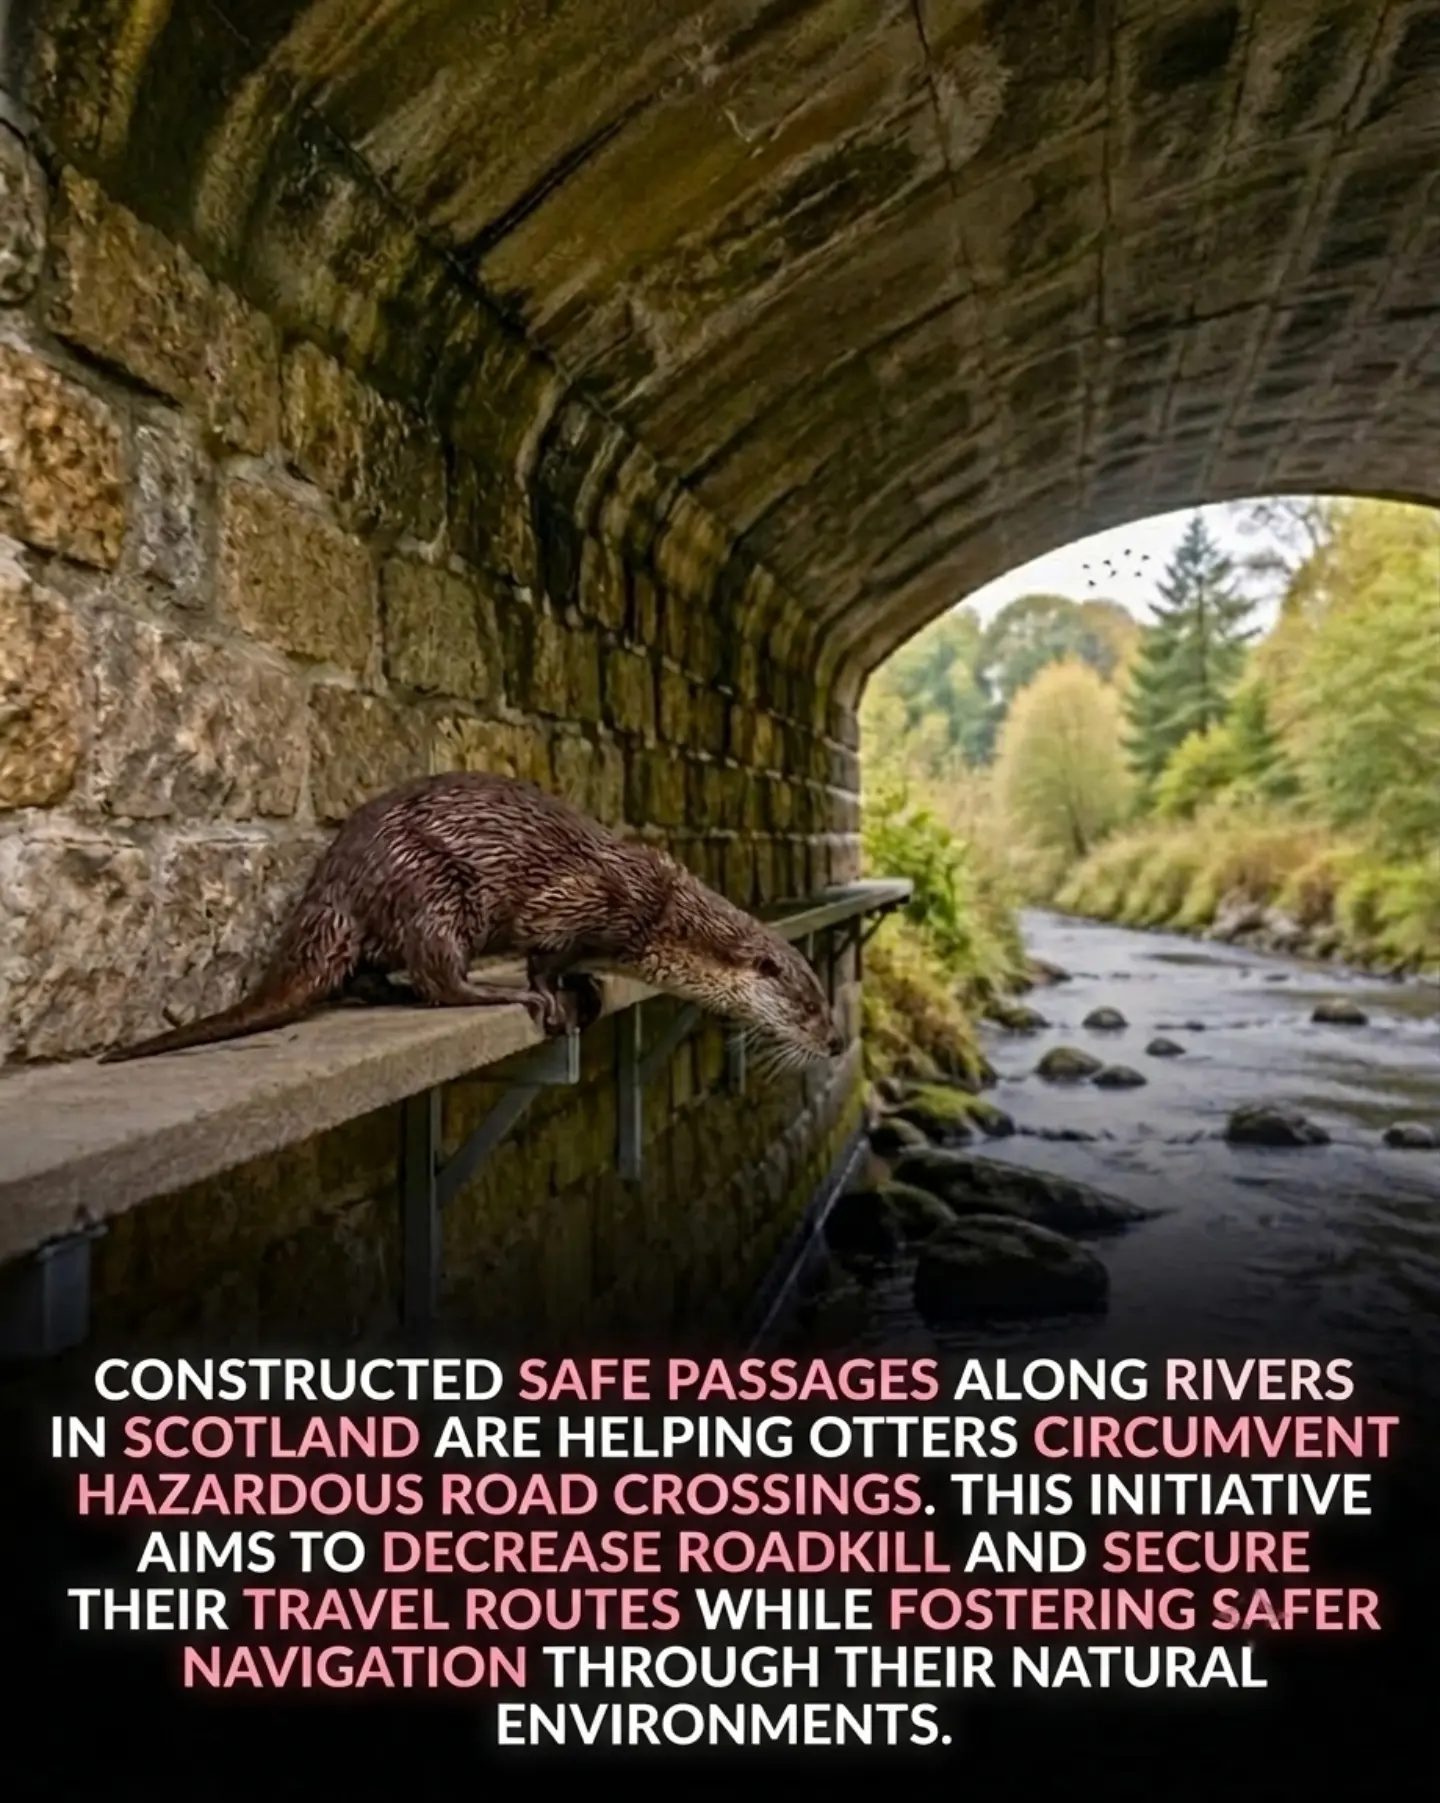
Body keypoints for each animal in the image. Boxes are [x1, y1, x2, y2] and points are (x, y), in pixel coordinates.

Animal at [100, 772, 846, 1067]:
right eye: (810, 1005)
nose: (838, 1042)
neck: (660, 914)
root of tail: (335, 876)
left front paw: (589, 986)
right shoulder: (583, 900)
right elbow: (545, 952)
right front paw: (549, 993)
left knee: (370, 970)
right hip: (432, 886)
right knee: (438, 972)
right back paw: (494, 992)